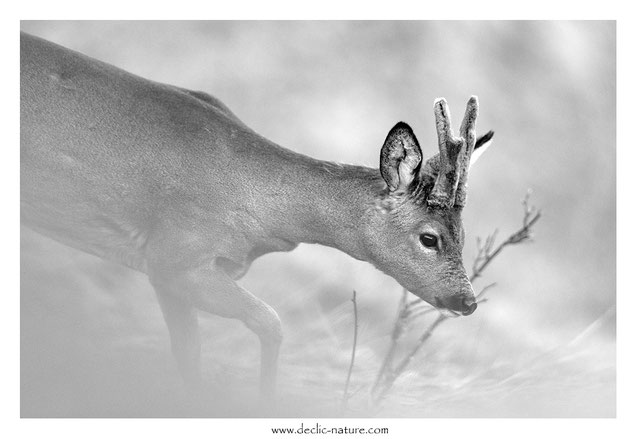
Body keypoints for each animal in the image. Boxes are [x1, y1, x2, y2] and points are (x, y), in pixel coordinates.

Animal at [19, 32, 494, 404]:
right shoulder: (174, 254)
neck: (262, 205)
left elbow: (189, 357)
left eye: (464, 234)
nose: (467, 302)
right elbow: (270, 321)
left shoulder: (172, 273)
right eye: (429, 237)